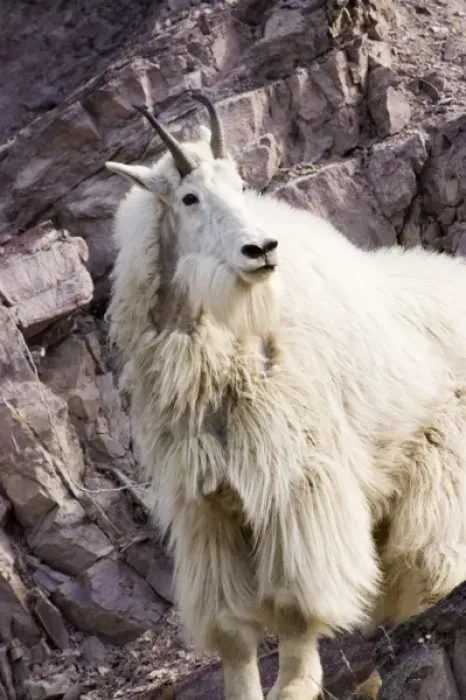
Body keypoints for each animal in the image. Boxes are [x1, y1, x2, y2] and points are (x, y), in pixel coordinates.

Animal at [104, 92, 466, 700]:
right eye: (189, 196)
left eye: (239, 183)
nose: (262, 249)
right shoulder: (208, 507)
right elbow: (232, 629)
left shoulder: (296, 483)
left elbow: (297, 602)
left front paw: (295, 684)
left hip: (442, 454)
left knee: (432, 554)